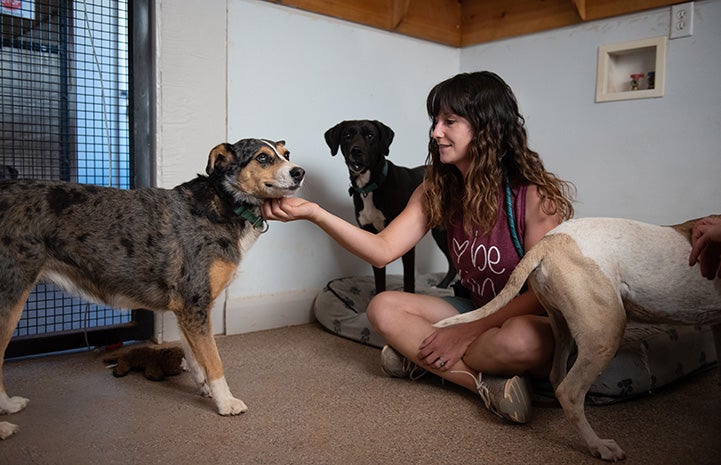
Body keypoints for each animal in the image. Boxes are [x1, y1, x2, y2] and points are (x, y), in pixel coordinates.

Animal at [0, 138, 304, 438]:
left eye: (286, 153)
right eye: (262, 157)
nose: (299, 172)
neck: (225, 202)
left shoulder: (187, 310)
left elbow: (195, 357)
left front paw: (205, 388)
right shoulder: (195, 303)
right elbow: (214, 360)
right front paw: (226, 402)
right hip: (10, 298)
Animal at [326, 120, 456, 294]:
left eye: (370, 135)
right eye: (347, 135)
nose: (356, 151)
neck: (370, 187)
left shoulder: (406, 244)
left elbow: (408, 279)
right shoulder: (372, 237)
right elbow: (379, 277)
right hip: (440, 231)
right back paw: (442, 285)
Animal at [434, 215, 720, 460]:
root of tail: (549, 241)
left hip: (562, 325)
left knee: (558, 377)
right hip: (605, 331)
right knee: (570, 392)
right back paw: (599, 446)